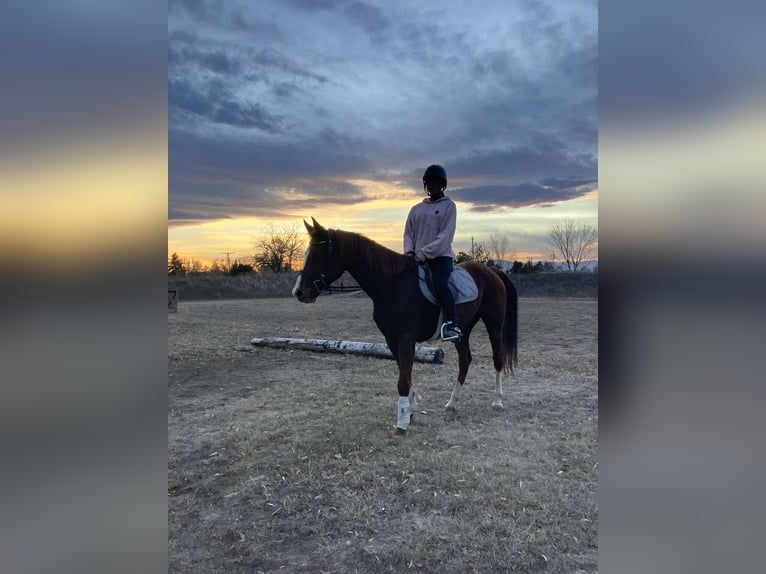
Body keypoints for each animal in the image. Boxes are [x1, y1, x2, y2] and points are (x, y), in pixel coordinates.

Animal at [292, 218, 520, 438]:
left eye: (318, 255)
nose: (299, 292)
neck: (392, 284)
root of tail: (491, 271)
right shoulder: (392, 340)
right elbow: (406, 376)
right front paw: (409, 413)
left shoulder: (405, 338)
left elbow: (403, 380)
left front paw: (401, 426)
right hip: (463, 329)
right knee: (465, 360)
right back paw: (452, 403)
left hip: (494, 324)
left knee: (497, 358)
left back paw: (497, 401)